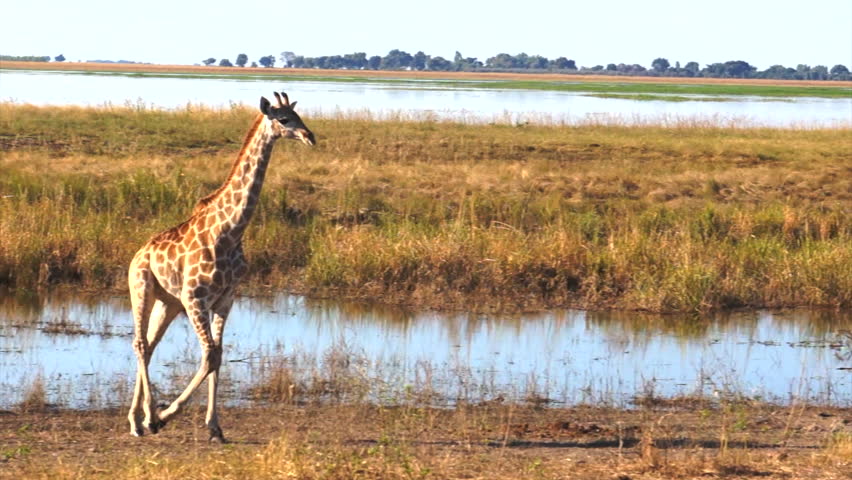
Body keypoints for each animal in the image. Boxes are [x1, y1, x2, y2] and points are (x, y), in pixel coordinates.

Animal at [127, 92, 315, 442]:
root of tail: (138, 253)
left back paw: (137, 419)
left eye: (299, 116)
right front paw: (166, 415)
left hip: (168, 302)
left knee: (150, 346)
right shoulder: (195, 298)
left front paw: (214, 427)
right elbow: (210, 355)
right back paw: (145, 418)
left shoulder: (225, 299)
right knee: (141, 343)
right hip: (142, 288)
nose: (310, 136)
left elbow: (218, 356)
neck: (231, 231)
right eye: (284, 119)